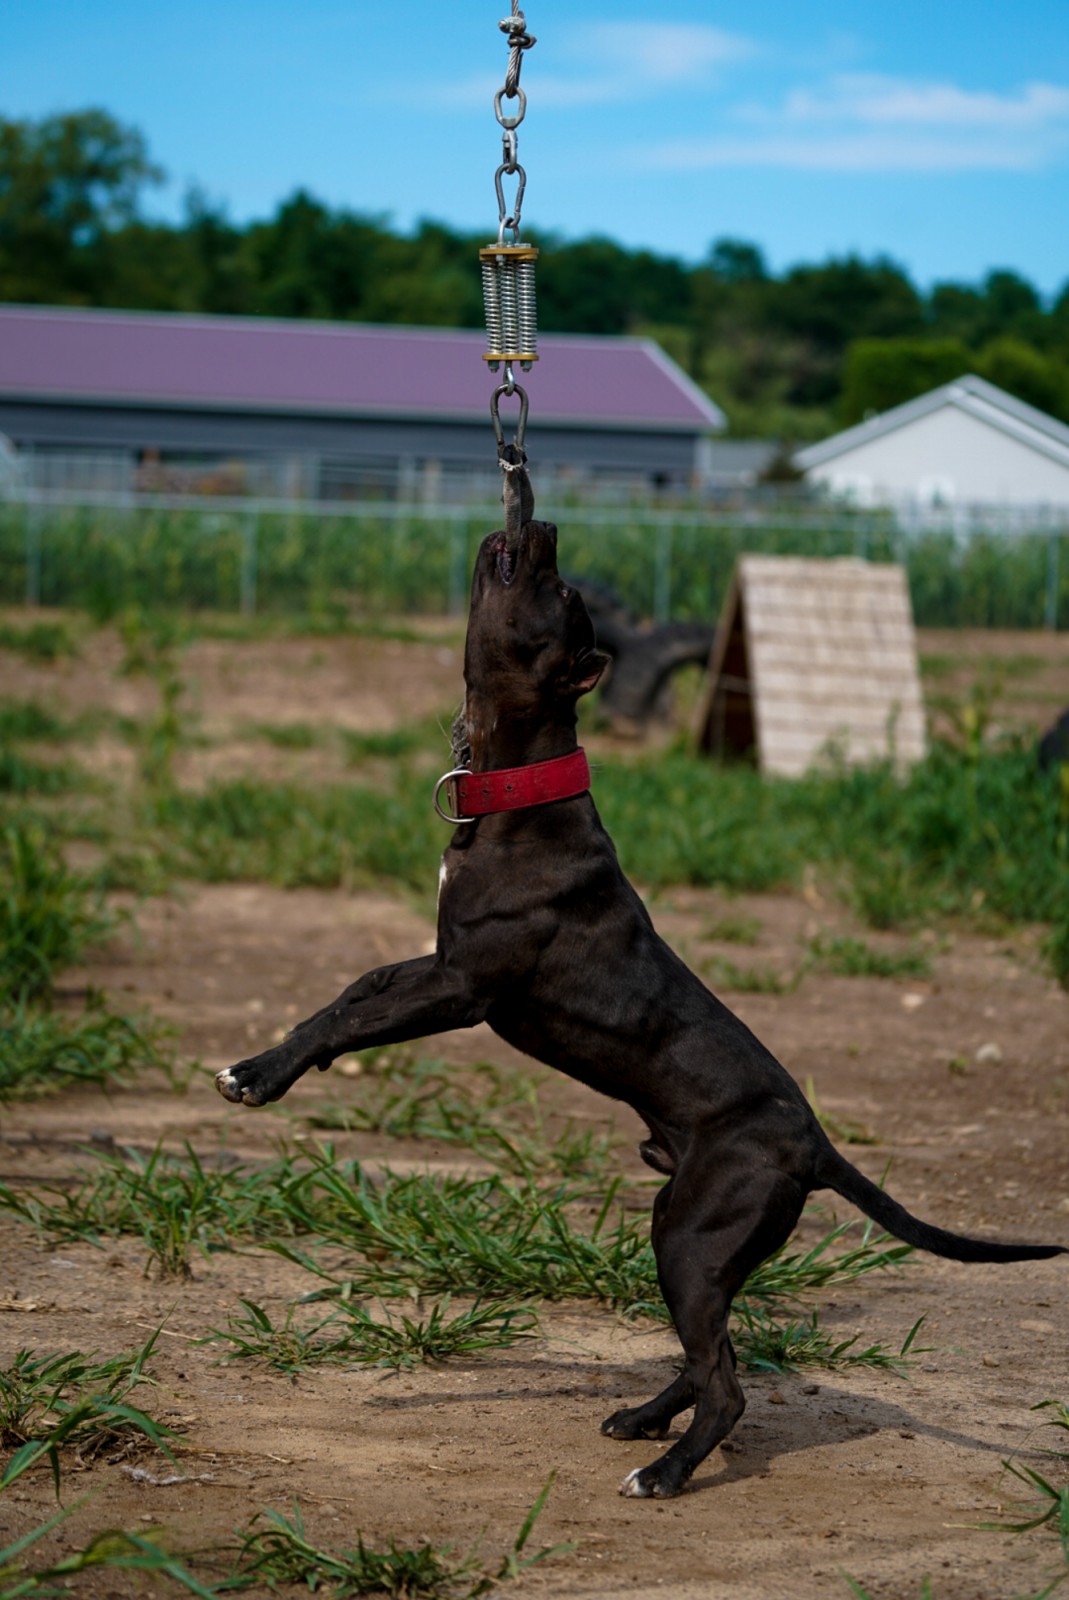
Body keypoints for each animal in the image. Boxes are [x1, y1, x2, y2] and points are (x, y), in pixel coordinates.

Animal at [214, 515, 1062, 1497]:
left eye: (561, 593)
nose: (542, 524)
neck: (521, 793)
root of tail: (816, 1145)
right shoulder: (433, 961)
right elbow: (348, 994)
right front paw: (257, 1063)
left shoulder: (462, 986)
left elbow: (353, 1018)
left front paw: (260, 1079)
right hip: (686, 1236)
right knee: (707, 1359)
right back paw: (644, 1422)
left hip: (691, 1238)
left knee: (724, 1380)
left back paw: (664, 1472)